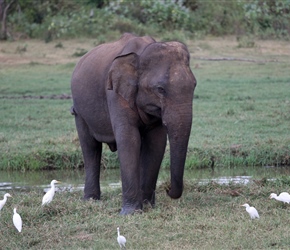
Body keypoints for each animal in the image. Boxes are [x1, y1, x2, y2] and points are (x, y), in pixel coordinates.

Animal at [70, 32, 197, 214]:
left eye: (194, 86)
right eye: (160, 89)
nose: (167, 189)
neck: (141, 53)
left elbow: (155, 143)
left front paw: (148, 206)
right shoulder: (115, 93)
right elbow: (129, 139)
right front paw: (130, 213)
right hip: (80, 112)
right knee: (90, 147)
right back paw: (91, 200)